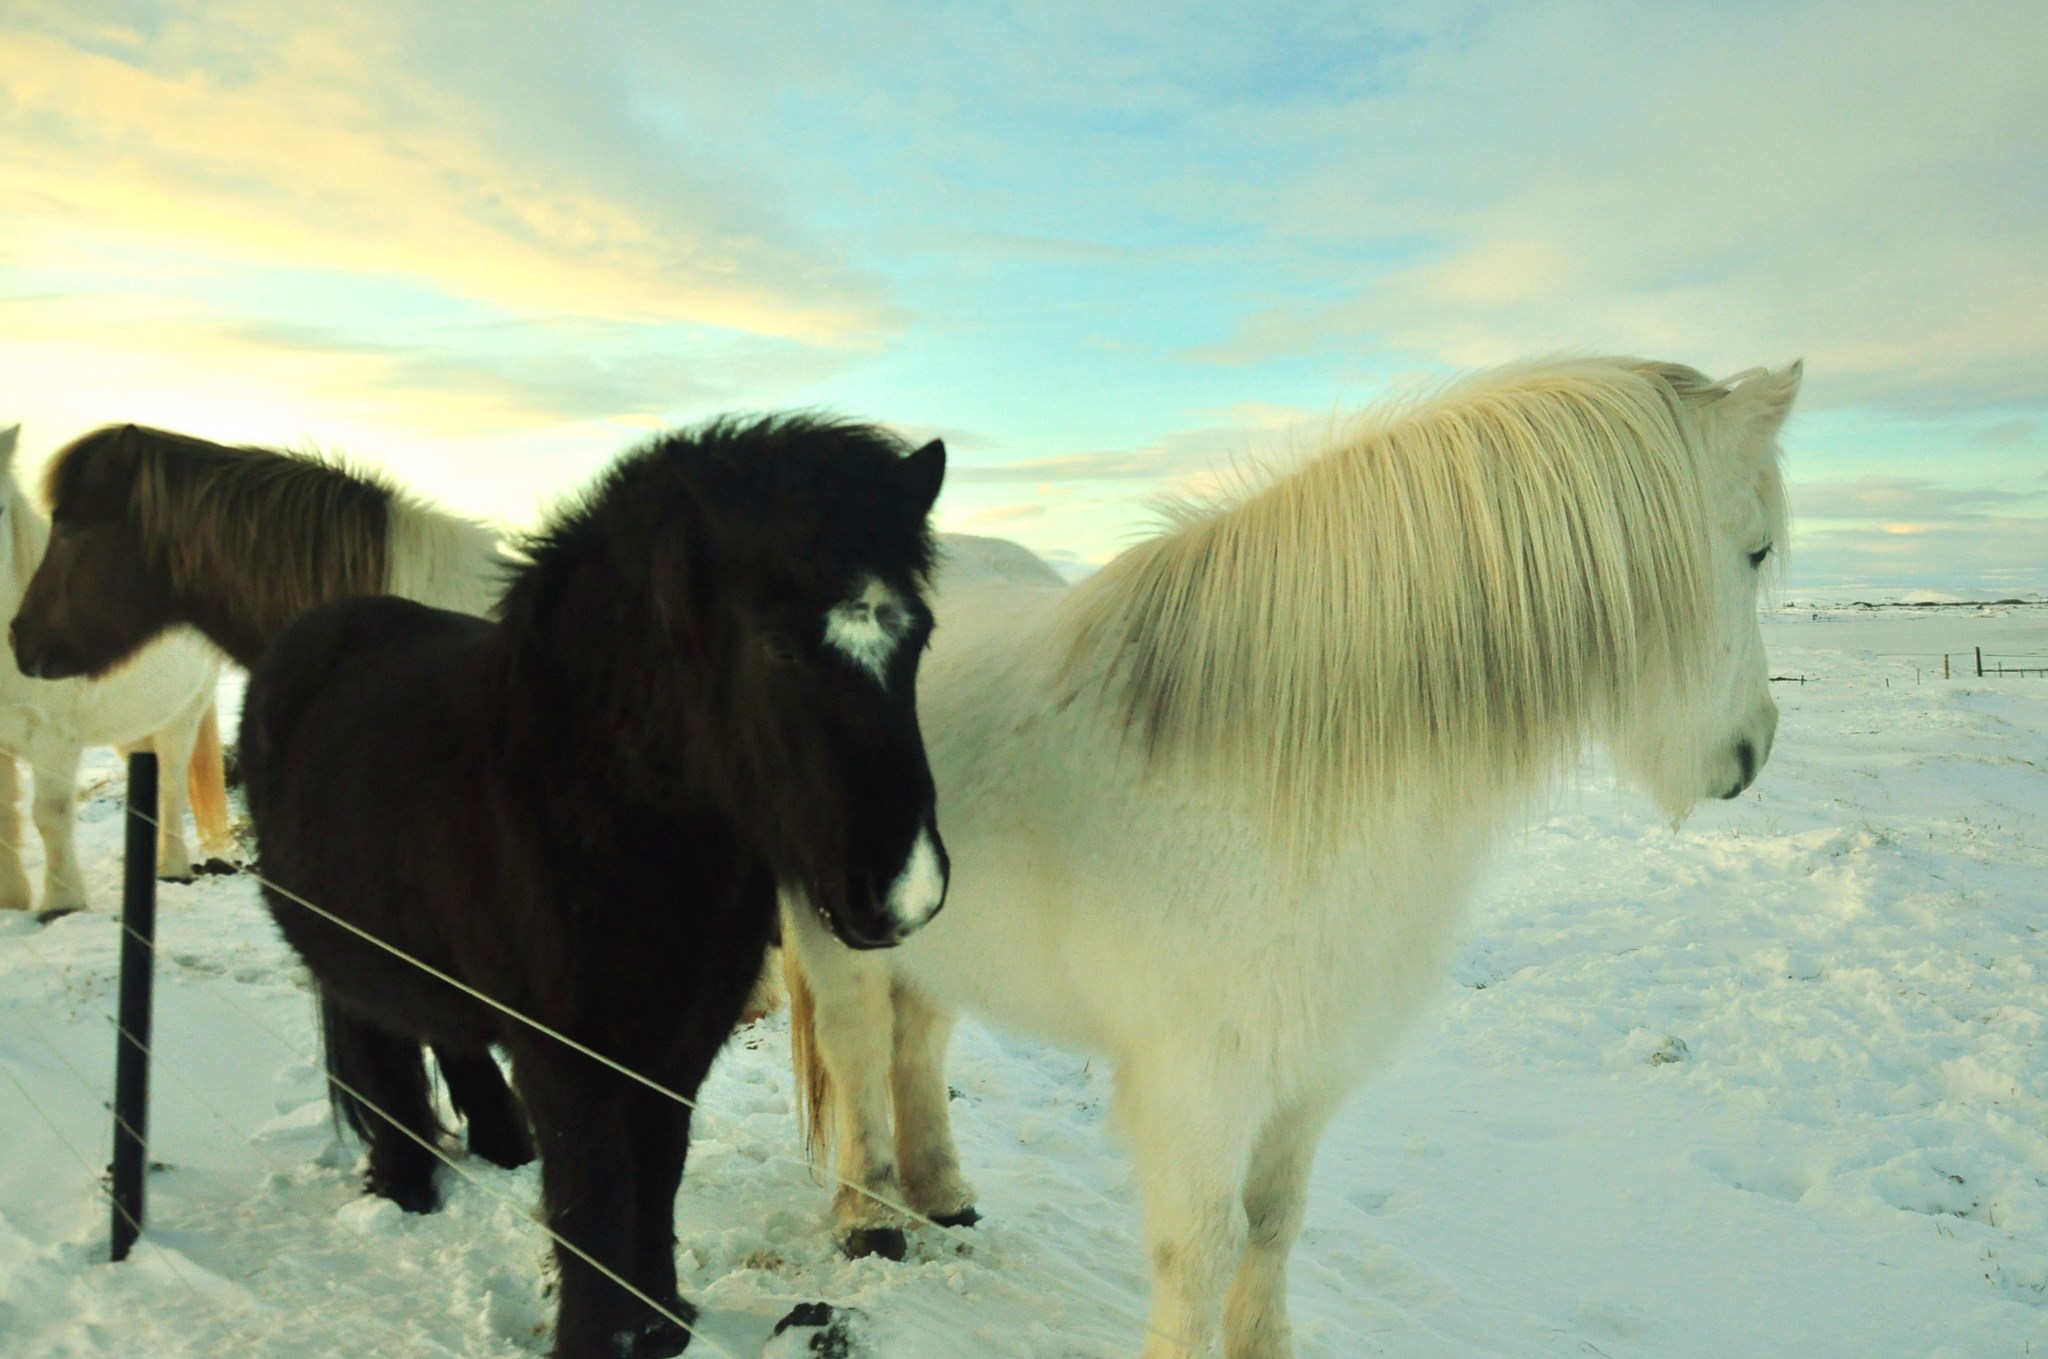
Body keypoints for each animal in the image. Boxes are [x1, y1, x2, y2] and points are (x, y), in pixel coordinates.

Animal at [0, 425, 232, 912]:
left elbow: (49, 814)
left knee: (172, 789)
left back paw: (172, 869)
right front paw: (11, 900)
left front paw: (61, 904)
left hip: (181, 718)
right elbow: (4, 817)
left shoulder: (55, 738)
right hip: (133, 728)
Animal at [241, 417, 950, 1358]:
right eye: (780, 648)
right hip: (349, 956)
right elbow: (592, 1188)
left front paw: (660, 1321)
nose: (907, 892)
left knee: (449, 1038)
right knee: (385, 1050)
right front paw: (599, 1332)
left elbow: (654, 1170)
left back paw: (498, 1148)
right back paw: (405, 1186)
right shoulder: (565, 1053)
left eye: (919, 638)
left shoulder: (677, 1042)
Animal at [778, 356, 1794, 1350]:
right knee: (859, 1044)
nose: (1755, 749)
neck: (1277, 761)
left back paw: (944, 1194)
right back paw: (869, 1218)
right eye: (1754, 551)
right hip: (840, 934)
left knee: (919, 1035)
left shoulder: (1311, 1066)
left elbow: (1273, 1223)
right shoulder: (1200, 1078)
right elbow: (1201, 1247)